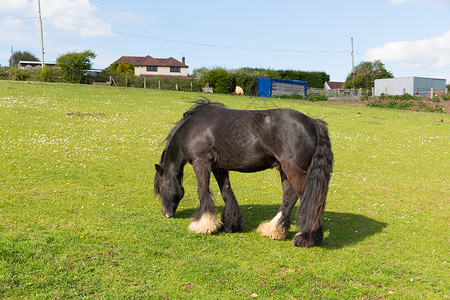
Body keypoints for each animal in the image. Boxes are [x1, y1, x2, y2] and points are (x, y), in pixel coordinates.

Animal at [154, 100, 330, 246]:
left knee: (310, 201)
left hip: (294, 170)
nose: (166, 213)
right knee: (289, 197)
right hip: (284, 169)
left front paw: (203, 224)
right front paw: (231, 224)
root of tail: (312, 122)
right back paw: (274, 230)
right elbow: (226, 192)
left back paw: (306, 238)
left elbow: (203, 191)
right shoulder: (219, 167)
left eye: (160, 187)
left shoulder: (201, 163)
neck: (191, 128)